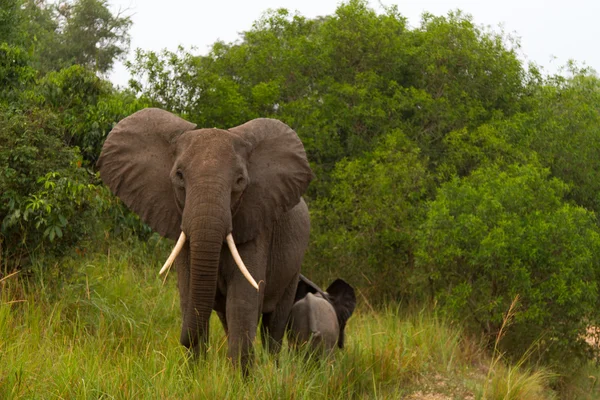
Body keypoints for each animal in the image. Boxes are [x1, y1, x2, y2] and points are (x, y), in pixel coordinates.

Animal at [97, 108, 314, 372]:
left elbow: (242, 301)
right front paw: (196, 375)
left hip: (294, 266)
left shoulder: (256, 223)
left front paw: (240, 379)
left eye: (240, 181)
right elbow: (190, 293)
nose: (181, 339)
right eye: (179, 176)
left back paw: (274, 370)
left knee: (273, 326)